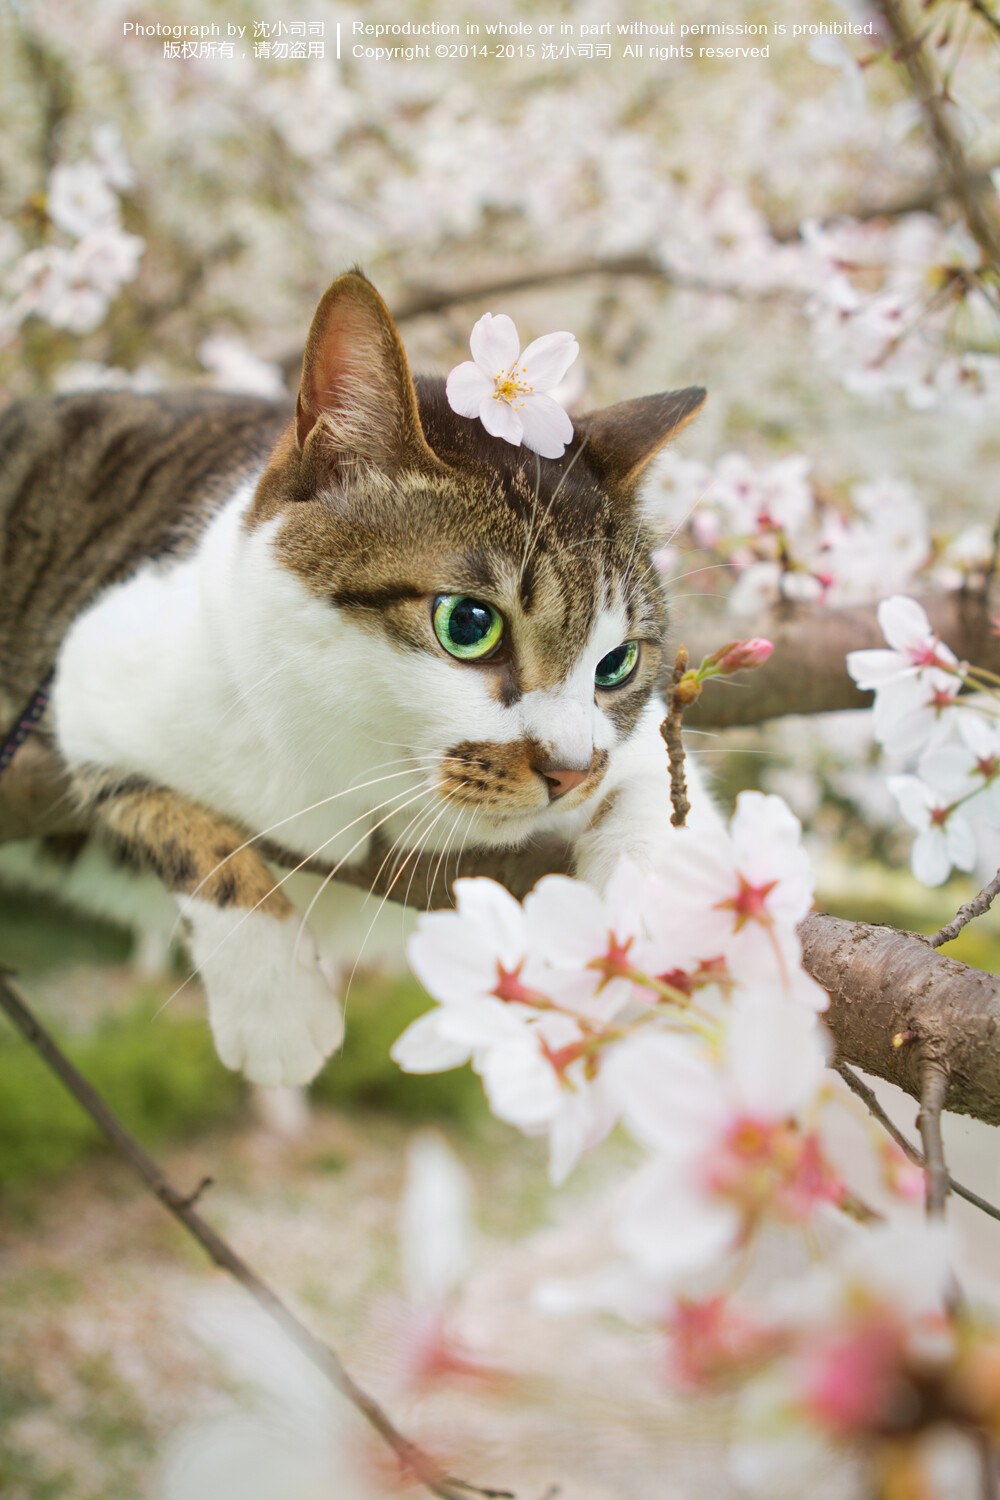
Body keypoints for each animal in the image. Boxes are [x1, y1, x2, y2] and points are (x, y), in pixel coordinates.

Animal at [1, 270, 719, 1086]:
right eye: (469, 624)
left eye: (617, 663)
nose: (570, 772)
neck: (362, 777)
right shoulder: (95, 673)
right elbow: (178, 825)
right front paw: (276, 1001)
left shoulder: (638, 748)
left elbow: (663, 794)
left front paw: (652, 918)